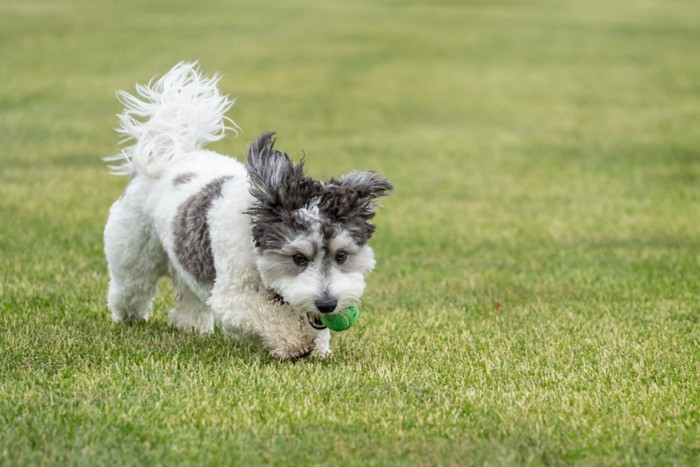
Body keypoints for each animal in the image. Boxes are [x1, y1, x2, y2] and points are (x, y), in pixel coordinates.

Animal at [102, 62, 394, 360]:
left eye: (342, 255)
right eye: (298, 258)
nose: (327, 304)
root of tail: (175, 155)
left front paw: (318, 347)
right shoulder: (234, 294)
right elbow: (265, 314)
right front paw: (293, 342)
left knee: (188, 296)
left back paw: (191, 326)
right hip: (133, 254)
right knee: (130, 288)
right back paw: (128, 318)